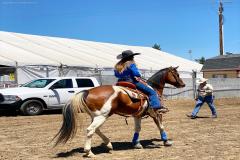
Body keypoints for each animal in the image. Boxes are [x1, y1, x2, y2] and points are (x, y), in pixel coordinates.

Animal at [54, 66, 186, 158]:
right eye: (177, 74)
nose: (183, 84)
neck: (153, 88)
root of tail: (87, 92)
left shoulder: (137, 115)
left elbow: (137, 129)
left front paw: (136, 143)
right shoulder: (156, 113)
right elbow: (161, 126)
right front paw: (166, 141)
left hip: (97, 116)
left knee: (96, 129)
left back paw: (108, 144)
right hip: (102, 116)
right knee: (90, 130)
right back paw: (89, 152)